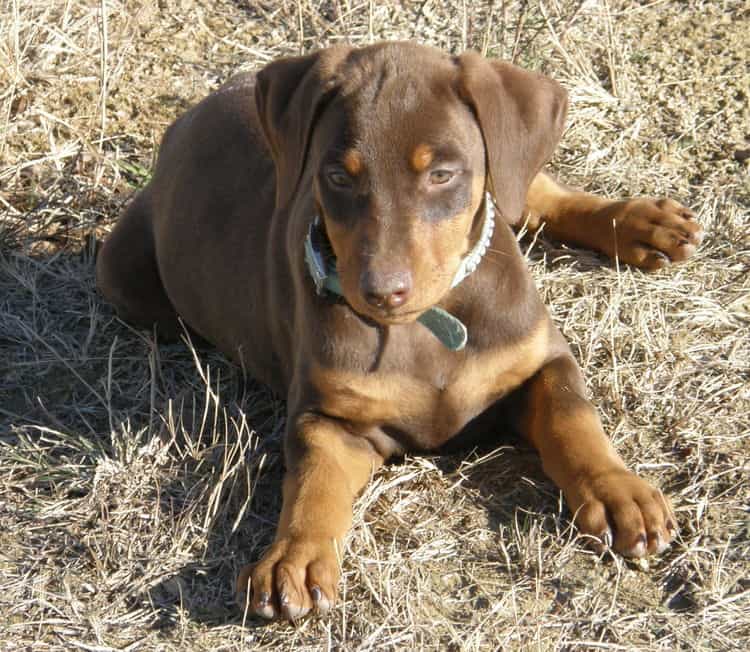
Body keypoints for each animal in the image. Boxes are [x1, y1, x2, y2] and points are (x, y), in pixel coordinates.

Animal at [95, 43, 704, 620]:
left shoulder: (541, 358)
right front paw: (294, 558)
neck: (429, 325)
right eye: (337, 177)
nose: (381, 292)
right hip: (126, 278)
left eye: (441, 174)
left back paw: (642, 223)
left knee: (523, 189)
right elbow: (314, 483)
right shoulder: (329, 417)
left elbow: (573, 419)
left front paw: (617, 491)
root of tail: (186, 120)